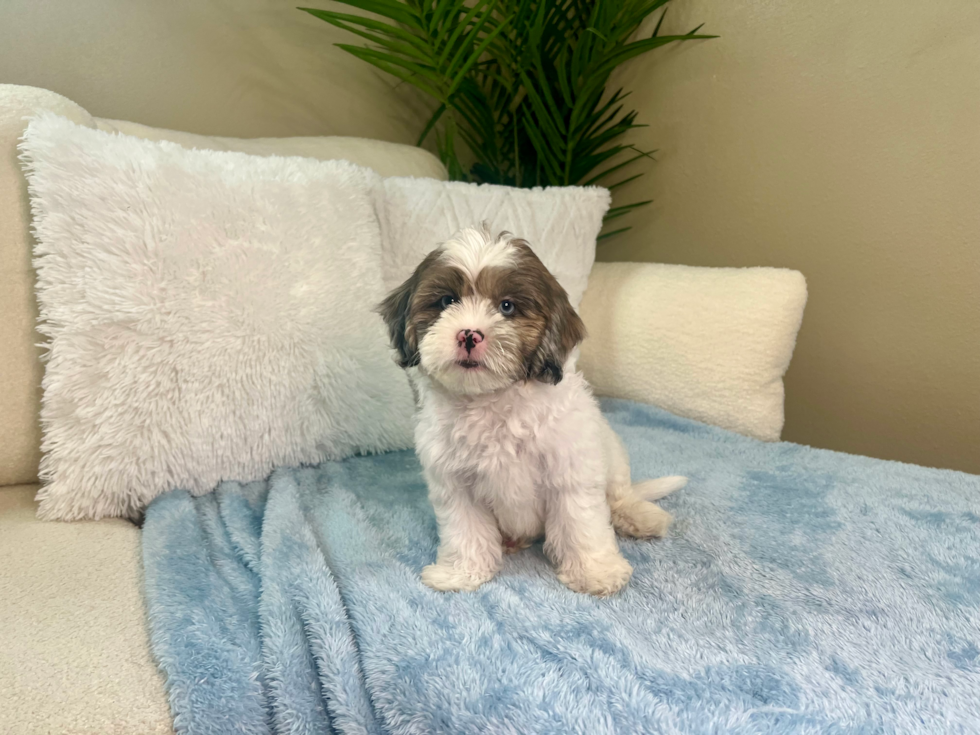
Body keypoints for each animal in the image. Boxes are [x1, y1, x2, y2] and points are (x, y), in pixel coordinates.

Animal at [378, 226, 684, 600]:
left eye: (507, 306)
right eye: (447, 301)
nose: (469, 335)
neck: (492, 400)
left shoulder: (570, 469)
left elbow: (581, 523)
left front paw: (595, 571)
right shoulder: (454, 482)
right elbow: (465, 529)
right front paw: (462, 572)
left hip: (611, 456)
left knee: (619, 495)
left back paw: (640, 517)